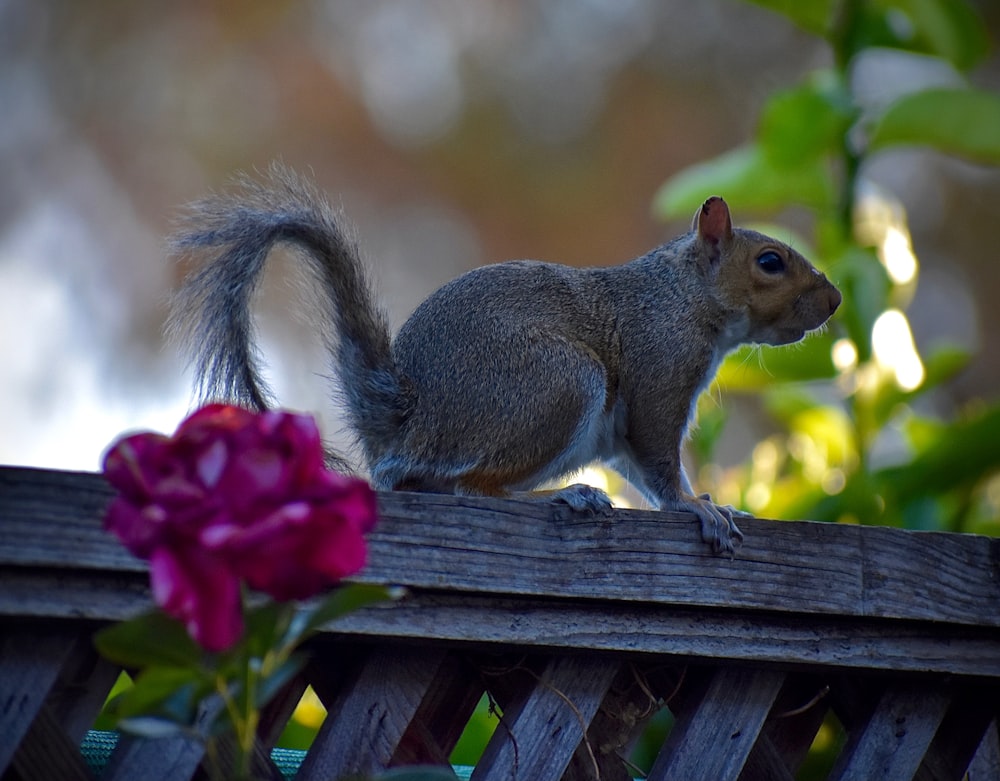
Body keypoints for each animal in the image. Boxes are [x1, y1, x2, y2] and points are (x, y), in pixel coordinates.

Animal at [168, 165, 840, 556]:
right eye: (771, 261)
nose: (833, 301)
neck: (681, 297)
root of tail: (409, 418)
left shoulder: (626, 424)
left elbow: (636, 461)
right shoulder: (659, 372)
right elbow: (659, 464)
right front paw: (699, 508)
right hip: (559, 384)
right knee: (475, 489)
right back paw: (561, 497)